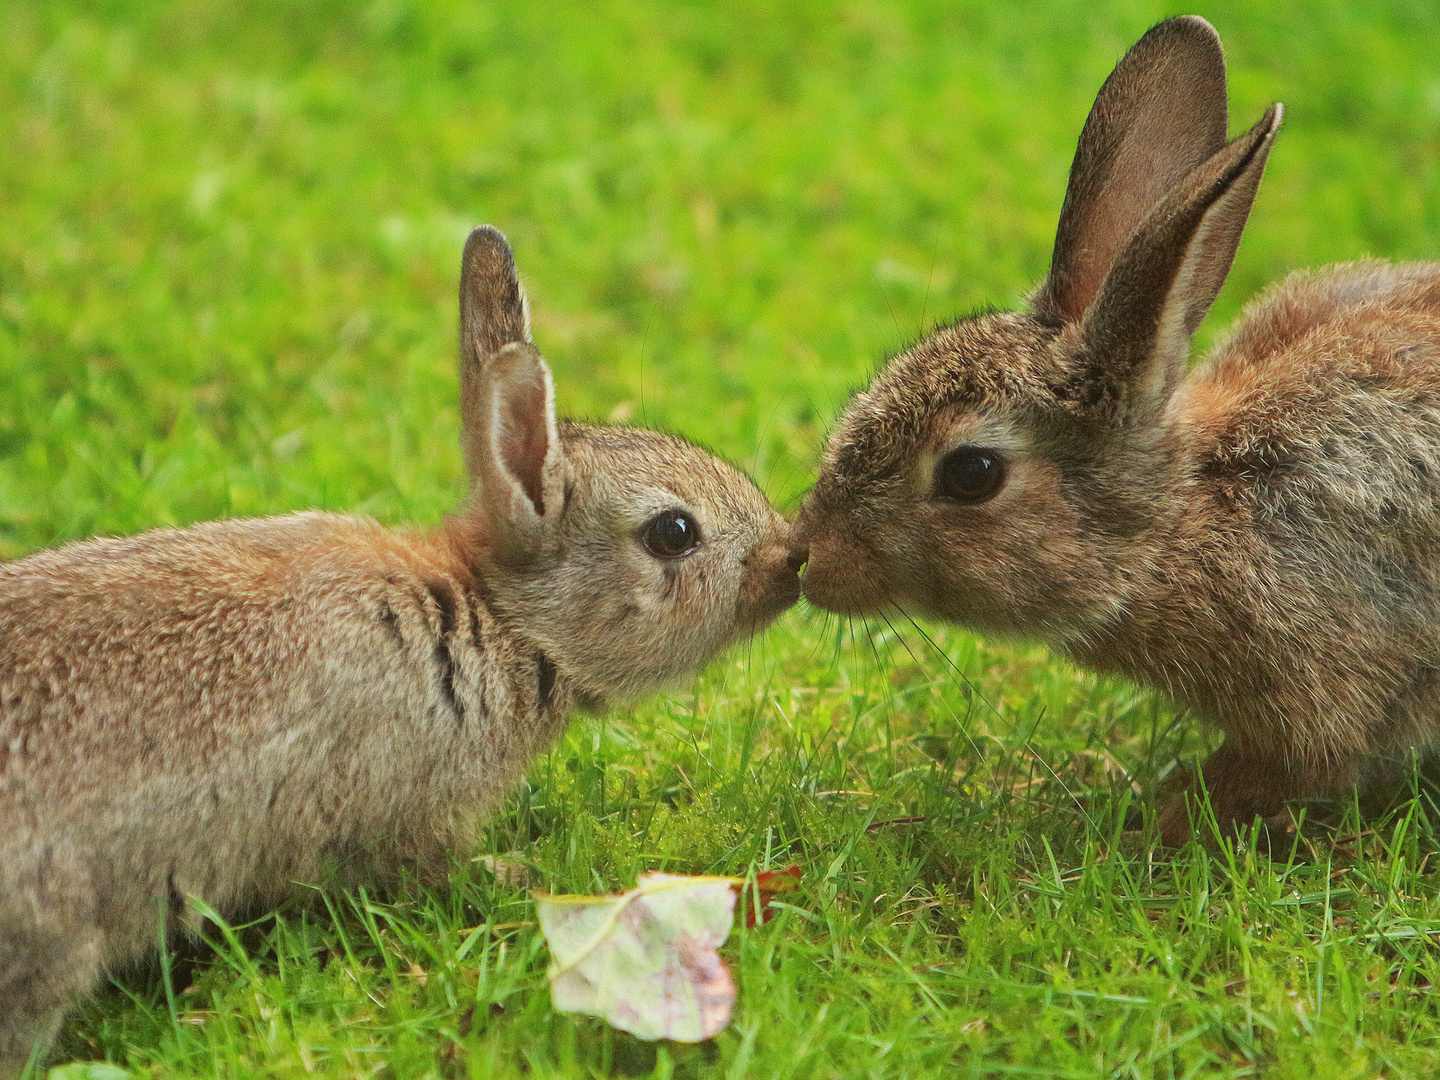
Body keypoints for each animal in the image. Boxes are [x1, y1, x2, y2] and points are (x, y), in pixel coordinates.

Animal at [794, 14, 1440, 846]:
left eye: (972, 474)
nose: (809, 561)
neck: (1182, 520)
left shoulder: (1326, 689)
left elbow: (1278, 770)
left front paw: (1153, 828)